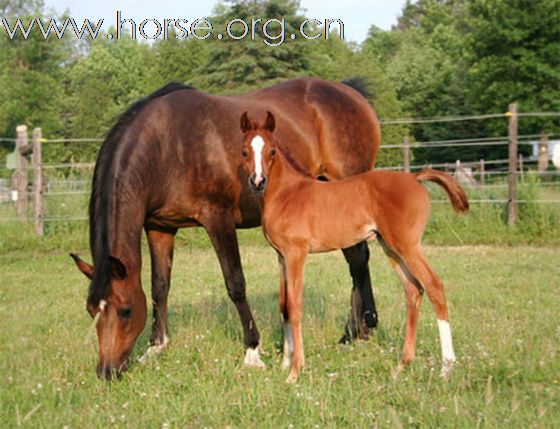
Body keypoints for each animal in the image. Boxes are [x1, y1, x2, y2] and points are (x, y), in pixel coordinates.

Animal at [71, 77, 380, 378]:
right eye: (90, 309)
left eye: (125, 311)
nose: (107, 371)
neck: (168, 145)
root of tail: (351, 93)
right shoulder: (160, 228)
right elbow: (160, 286)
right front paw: (156, 347)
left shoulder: (218, 220)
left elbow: (236, 284)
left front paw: (252, 352)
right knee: (355, 258)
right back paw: (357, 331)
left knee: (358, 259)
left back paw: (360, 328)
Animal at [241, 110, 468, 382]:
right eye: (244, 151)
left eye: (272, 151)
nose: (257, 182)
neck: (287, 193)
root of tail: (415, 177)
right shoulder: (281, 256)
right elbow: (284, 305)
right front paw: (286, 362)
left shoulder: (297, 253)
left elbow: (295, 306)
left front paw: (295, 371)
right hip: (390, 247)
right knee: (413, 289)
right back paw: (401, 365)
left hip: (408, 245)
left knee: (434, 285)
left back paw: (446, 367)